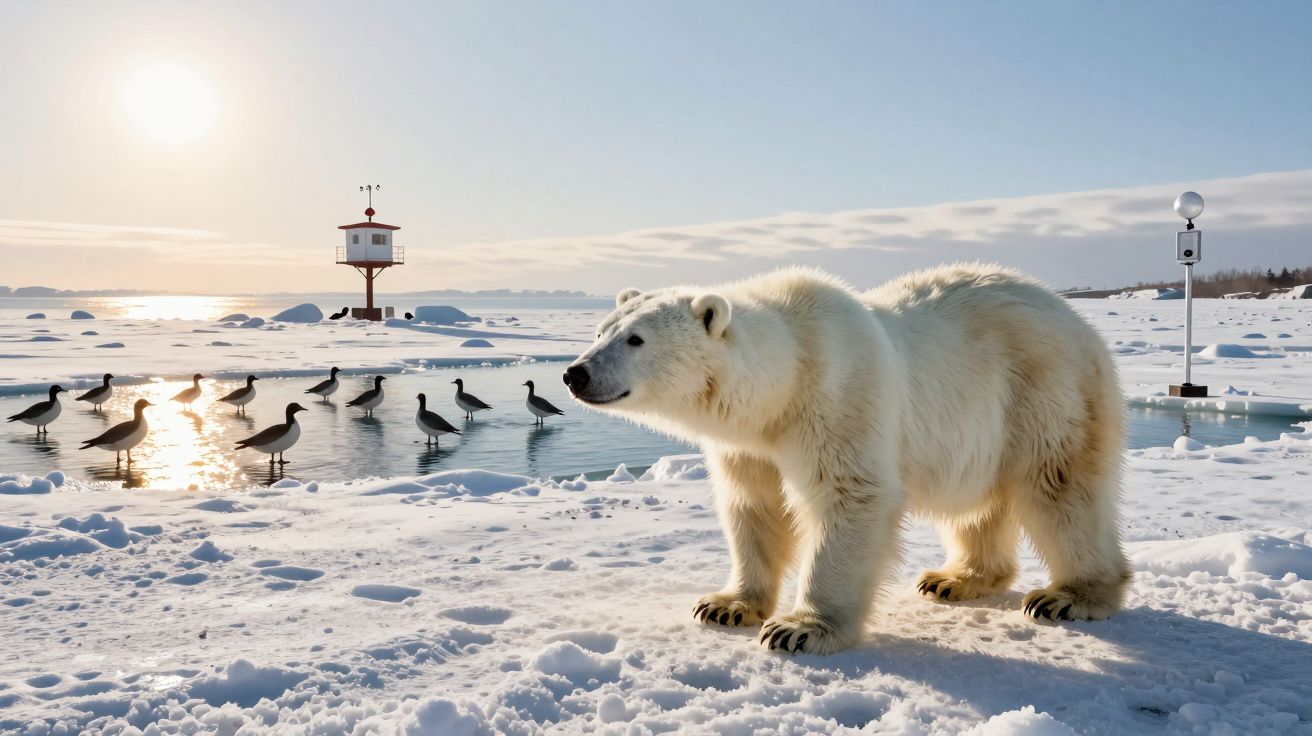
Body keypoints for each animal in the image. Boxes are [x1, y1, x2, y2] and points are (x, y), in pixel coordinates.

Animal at [563, 264, 1130, 655]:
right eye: (600, 330)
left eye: (636, 339)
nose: (575, 373)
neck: (784, 380)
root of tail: (1080, 323)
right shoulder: (749, 444)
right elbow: (754, 506)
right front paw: (726, 605)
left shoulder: (838, 396)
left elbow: (849, 496)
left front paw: (799, 629)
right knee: (978, 505)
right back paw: (954, 578)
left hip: (1043, 390)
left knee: (1060, 485)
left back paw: (1070, 595)